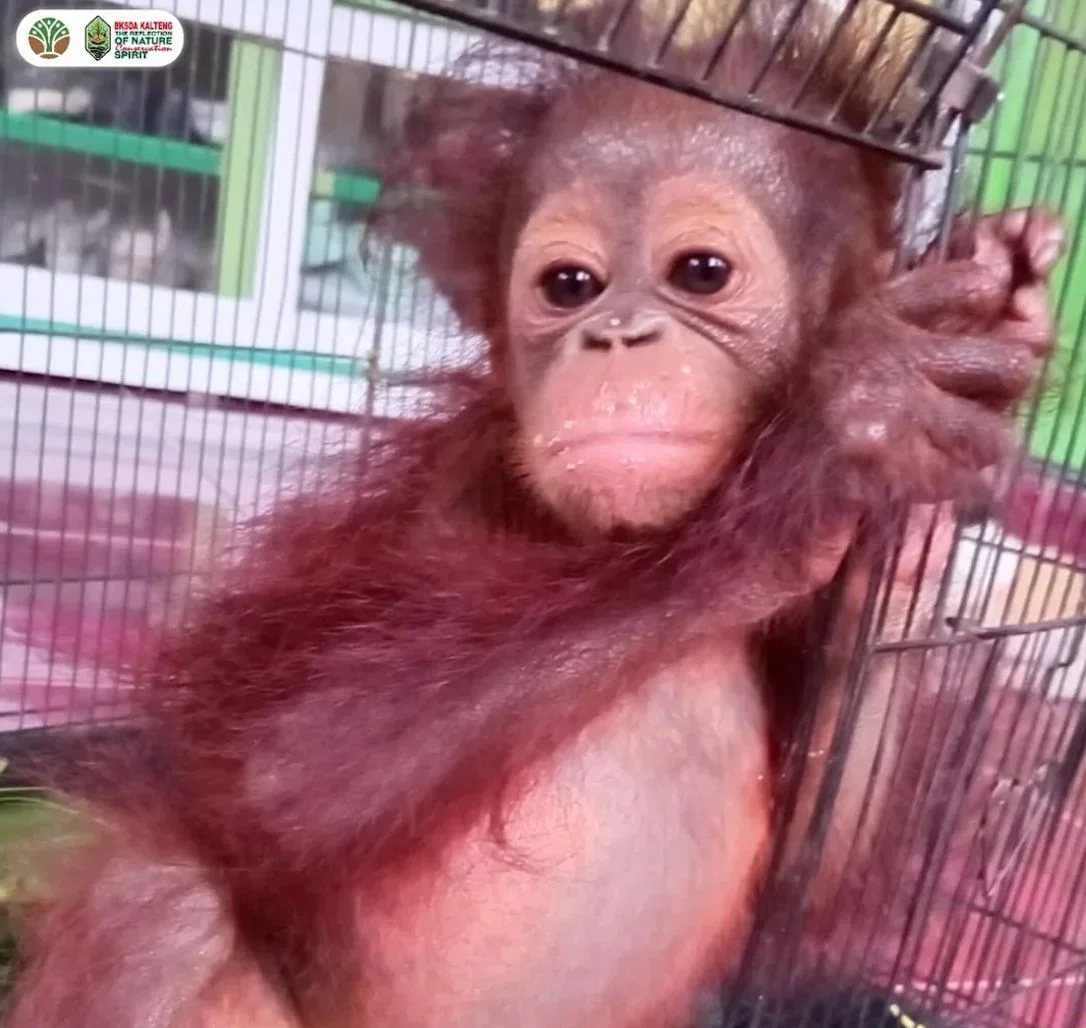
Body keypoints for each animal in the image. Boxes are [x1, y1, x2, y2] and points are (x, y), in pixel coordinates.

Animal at [3, 4, 1065, 1027]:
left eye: (702, 273)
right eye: (569, 288)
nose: (617, 336)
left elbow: (805, 879)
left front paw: (914, 553)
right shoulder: (454, 474)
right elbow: (271, 759)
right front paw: (838, 434)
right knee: (166, 904)